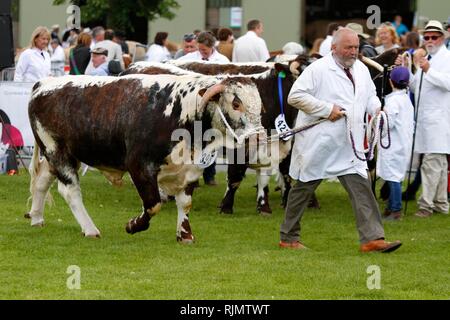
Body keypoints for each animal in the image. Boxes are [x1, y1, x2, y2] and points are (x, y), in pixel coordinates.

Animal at [27, 73, 264, 242]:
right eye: (236, 104)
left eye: (259, 106)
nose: (259, 135)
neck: (180, 112)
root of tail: (43, 83)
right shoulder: (139, 166)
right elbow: (153, 204)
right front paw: (133, 225)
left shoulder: (190, 169)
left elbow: (185, 203)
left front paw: (185, 234)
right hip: (57, 152)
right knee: (70, 191)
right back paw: (90, 229)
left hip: (60, 155)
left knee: (41, 182)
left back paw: (37, 217)